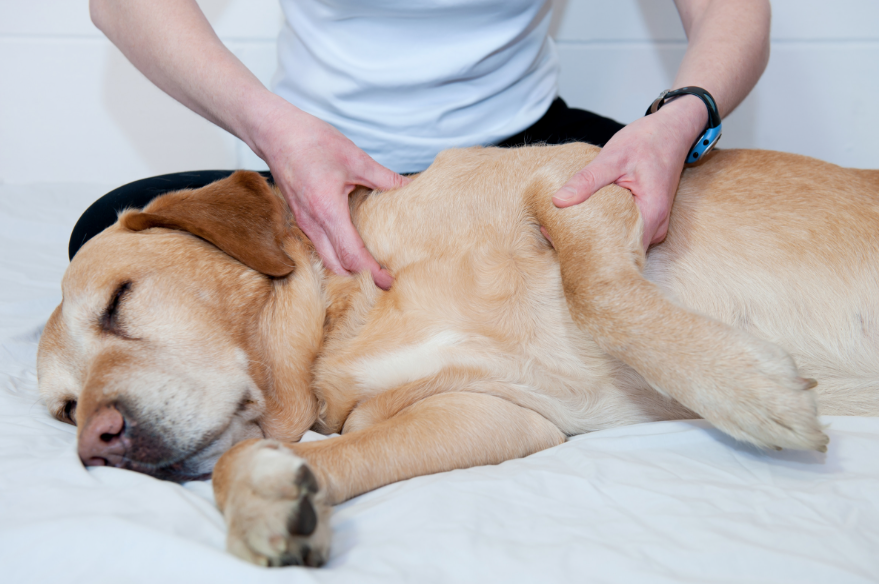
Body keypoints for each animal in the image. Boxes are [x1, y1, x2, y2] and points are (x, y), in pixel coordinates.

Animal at [36, 144, 879, 568]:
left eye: (117, 301)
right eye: (64, 410)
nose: (96, 445)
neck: (348, 319)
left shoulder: (575, 180)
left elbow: (597, 292)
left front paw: (747, 391)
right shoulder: (492, 416)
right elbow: (272, 459)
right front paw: (265, 500)